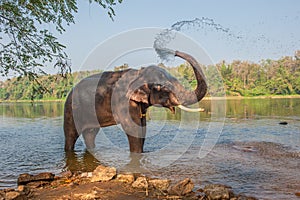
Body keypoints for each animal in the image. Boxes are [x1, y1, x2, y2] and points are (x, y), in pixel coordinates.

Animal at [64, 50, 207, 153]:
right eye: (163, 88)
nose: (174, 52)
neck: (138, 73)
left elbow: (143, 126)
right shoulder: (123, 102)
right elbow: (132, 127)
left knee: (90, 133)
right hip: (71, 109)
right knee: (71, 135)